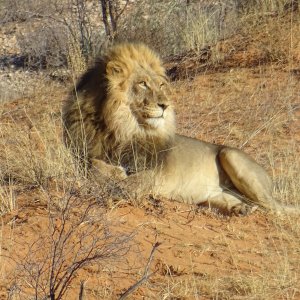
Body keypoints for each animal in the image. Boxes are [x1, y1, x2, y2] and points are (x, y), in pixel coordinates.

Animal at [62, 42, 296, 216]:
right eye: (142, 83)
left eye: (161, 85)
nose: (165, 105)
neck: (121, 128)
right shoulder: (83, 155)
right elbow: (94, 165)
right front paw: (114, 173)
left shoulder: (156, 169)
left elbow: (137, 180)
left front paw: (118, 185)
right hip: (213, 197)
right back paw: (240, 209)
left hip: (232, 156)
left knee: (277, 209)